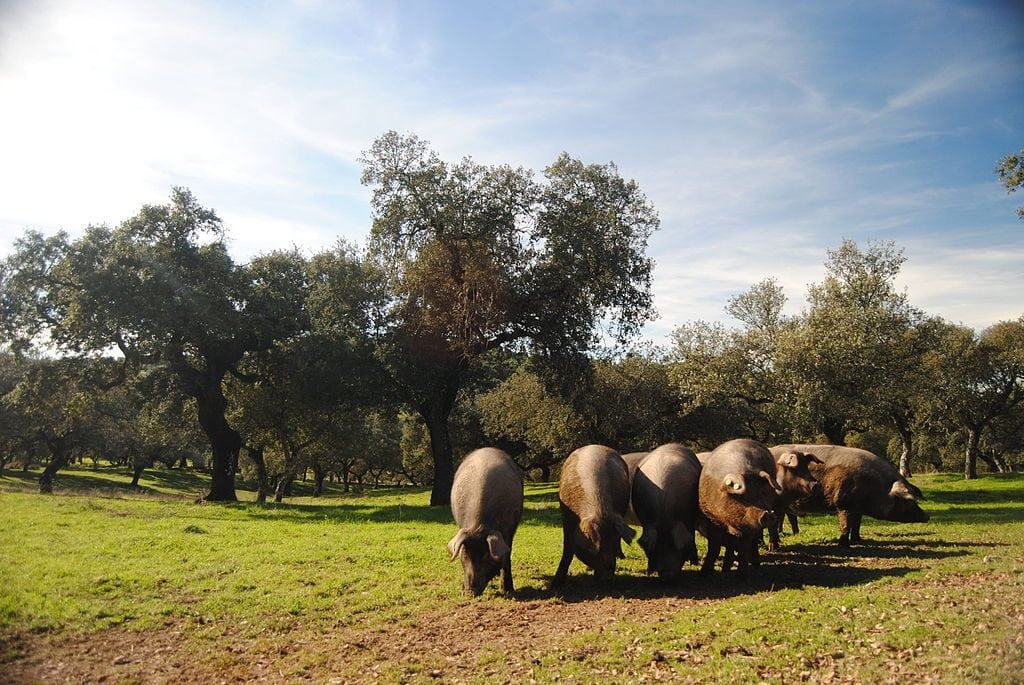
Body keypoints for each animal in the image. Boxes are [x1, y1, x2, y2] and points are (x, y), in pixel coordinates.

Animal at [446, 448, 524, 593]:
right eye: (465, 554)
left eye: (487, 556)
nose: (470, 592)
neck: (480, 525)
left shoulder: (509, 530)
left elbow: (507, 555)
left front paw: (508, 590)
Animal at [552, 444, 630, 589]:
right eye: (597, 549)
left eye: (611, 543)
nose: (607, 579)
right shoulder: (566, 517)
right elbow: (568, 549)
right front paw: (555, 585)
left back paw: (621, 556)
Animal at [630, 444, 704, 577]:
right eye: (656, 548)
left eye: (675, 545)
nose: (667, 572)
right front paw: (649, 571)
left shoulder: (689, 518)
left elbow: (690, 537)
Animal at [696, 438, 782, 577]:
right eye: (743, 496)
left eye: (762, 492)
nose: (768, 514)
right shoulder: (711, 518)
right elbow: (714, 547)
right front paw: (704, 573)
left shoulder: (748, 526)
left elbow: (744, 548)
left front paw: (743, 575)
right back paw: (725, 569)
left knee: (752, 544)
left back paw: (756, 566)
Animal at [770, 444, 933, 544]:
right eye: (906, 500)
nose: (927, 516)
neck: (875, 486)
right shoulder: (843, 504)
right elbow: (846, 524)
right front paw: (844, 544)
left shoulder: (857, 509)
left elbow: (857, 524)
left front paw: (858, 540)